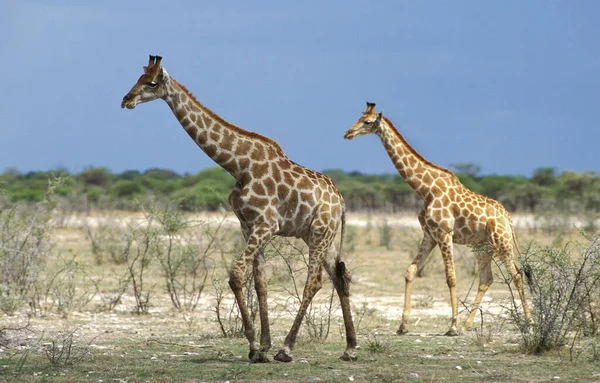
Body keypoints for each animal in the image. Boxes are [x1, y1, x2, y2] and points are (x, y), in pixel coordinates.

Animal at [344, 103, 532, 338]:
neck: (424, 190)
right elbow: (410, 272)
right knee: (486, 278)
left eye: (367, 122)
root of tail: (508, 217)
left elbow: (451, 276)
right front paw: (403, 326)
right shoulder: (429, 235)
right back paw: (468, 324)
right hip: (483, 246)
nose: (348, 133)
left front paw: (452, 326)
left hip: (502, 242)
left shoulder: (444, 233)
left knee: (516, 274)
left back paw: (529, 322)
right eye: (359, 117)